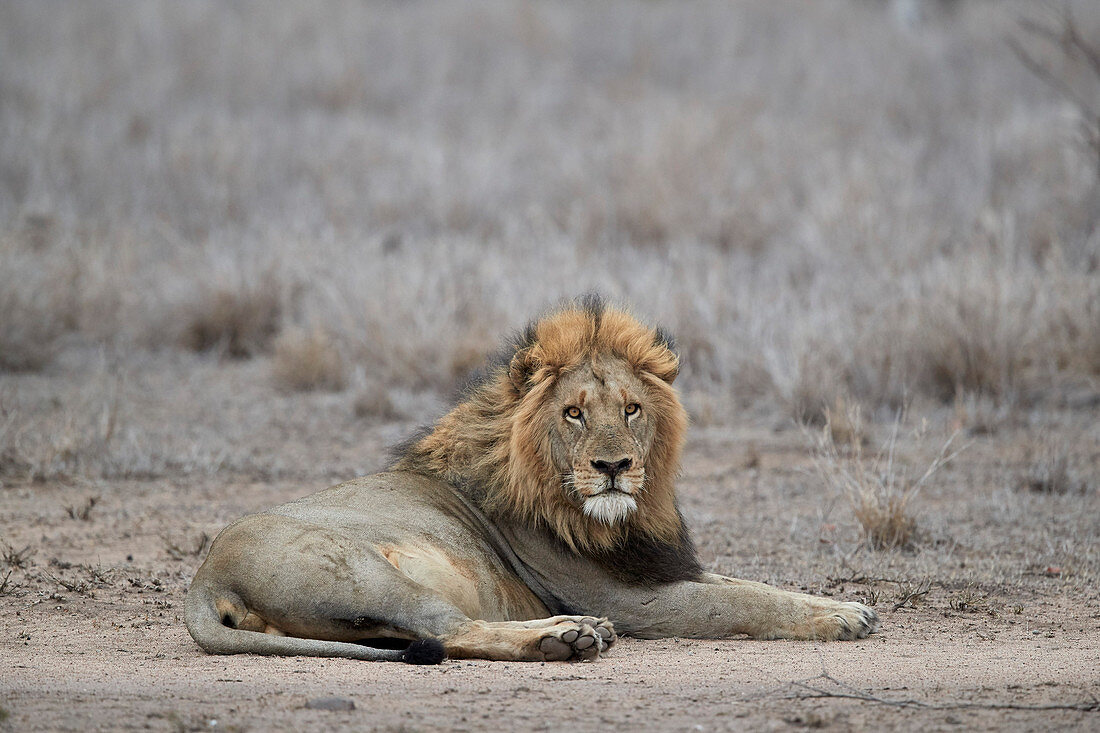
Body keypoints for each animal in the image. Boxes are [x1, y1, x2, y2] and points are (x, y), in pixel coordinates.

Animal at [187, 297, 875, 660]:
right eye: (573, 413)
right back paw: (566, 636)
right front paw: (842, 620)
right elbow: (739, 601)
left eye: (631, 408)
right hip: (364, 571)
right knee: (446, 629)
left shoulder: (656, 565)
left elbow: (752, 583)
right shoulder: (630, 599)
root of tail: (204, 576)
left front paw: (842, 605)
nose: (613, 468)